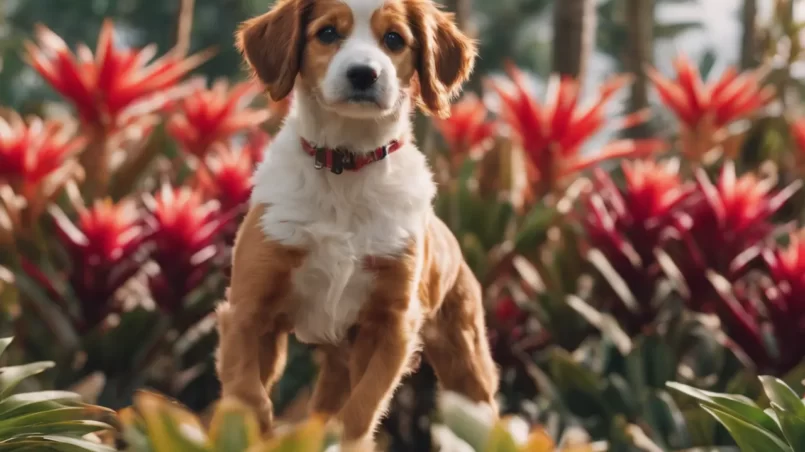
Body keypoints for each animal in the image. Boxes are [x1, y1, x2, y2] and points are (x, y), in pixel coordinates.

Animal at [217, 0, 500, 448]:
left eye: (395, 39)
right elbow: (247, 393)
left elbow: (360, 410)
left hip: (466, 364)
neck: (345, 165)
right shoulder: (247, 309)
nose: (364, 73)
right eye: (328, 33)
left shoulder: (391, 325)